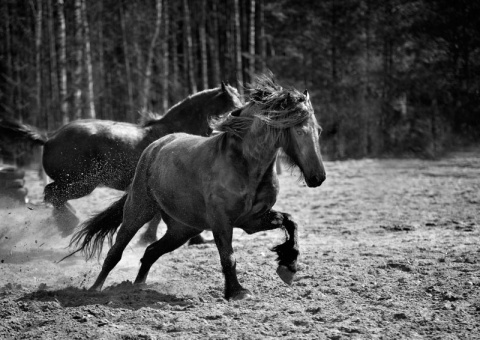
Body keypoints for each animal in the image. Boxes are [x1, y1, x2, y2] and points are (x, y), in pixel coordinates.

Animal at [43, 83, 242, 243]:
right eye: (233, 105)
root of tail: (49, 139)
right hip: (82, 183)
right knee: (54, 195)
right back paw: (69, 224)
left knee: (52, 195)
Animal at [68, 75, 326, 300]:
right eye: (299, 129)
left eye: (318, 130)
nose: (318, 177)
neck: (244, 166)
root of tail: (155, 146)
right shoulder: (222, 222)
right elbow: (228, 257)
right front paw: (237, 292)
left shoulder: (252, 220)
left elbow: (290, 222)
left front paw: (288, 266)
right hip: (138, 211)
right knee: (116, 251)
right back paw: (94, 289)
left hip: (183, 229)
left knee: (151, 251)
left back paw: (138, 286)